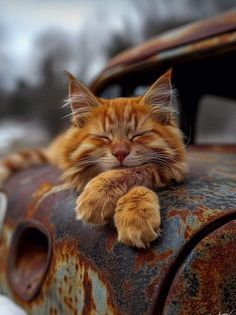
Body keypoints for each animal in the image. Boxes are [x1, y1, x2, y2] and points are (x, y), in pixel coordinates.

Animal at [0, 69, 188, 249]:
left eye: (137, 135)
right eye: (104, 137)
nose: (120, 153)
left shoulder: (170, 168)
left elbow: (137, 172)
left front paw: (135, 215)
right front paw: (98, 197)